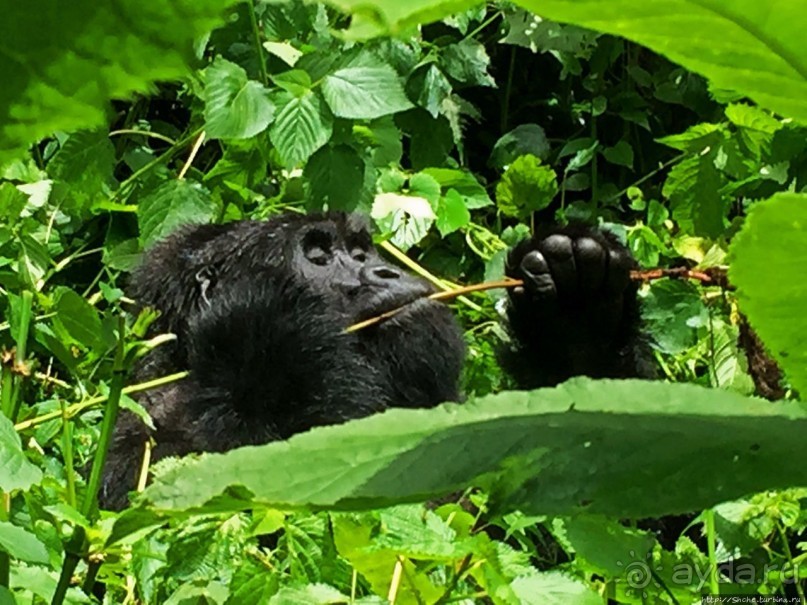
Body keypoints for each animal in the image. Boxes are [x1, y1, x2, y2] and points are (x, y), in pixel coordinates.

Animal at [99, 211, 652, 504]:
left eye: (362, 249)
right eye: (317, 256)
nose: (386, 271)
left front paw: (579, 319)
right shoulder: (151, 455)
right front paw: (259, 322)